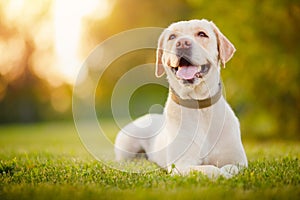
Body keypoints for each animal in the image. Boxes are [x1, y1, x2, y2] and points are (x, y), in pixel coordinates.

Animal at [113, 19, 247, 178]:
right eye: (172, 37)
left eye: (202, 34)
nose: (182, 43)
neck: (199, 106)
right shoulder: (181, 165)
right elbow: (210, 169)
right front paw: (220, 174)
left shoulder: (239, 161)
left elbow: (230, 168)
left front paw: (227, 173)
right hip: (127, 145)